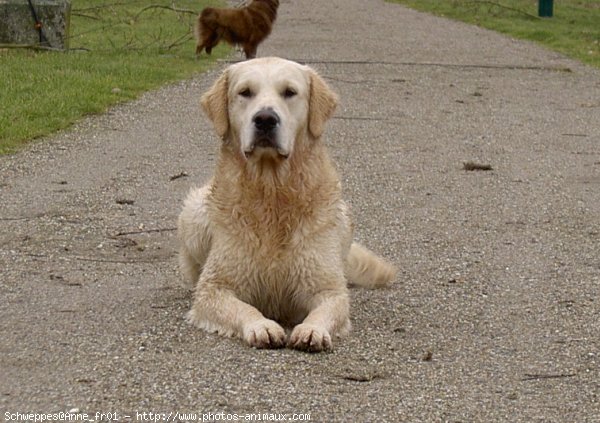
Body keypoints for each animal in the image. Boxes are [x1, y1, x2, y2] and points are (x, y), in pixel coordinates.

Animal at [176, 57, 396, 354]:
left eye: (289, 92)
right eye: (245, 92)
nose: (265, 119)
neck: (273, 193)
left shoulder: (327, 287)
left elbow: (325, 308)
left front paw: (312, 330)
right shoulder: (215, 287)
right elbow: (243, 308)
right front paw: (261, 326)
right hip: (194, 212)